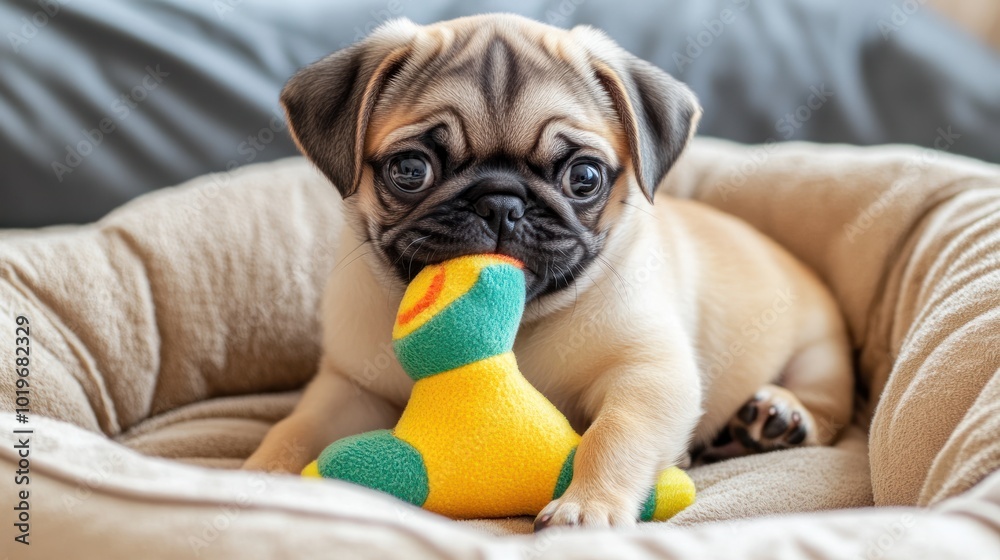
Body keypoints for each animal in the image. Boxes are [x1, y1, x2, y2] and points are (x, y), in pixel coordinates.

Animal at [246, 14, 856, 528]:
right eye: (411, 170)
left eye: (584, 178)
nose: (499, 201)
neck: (520, 318)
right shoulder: (351, 386)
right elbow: (298, 425)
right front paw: (261, 472)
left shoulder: (649, 372)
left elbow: (615, 433)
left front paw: (588, 506)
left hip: (820, 351)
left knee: (828, 407)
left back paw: (777, 417)